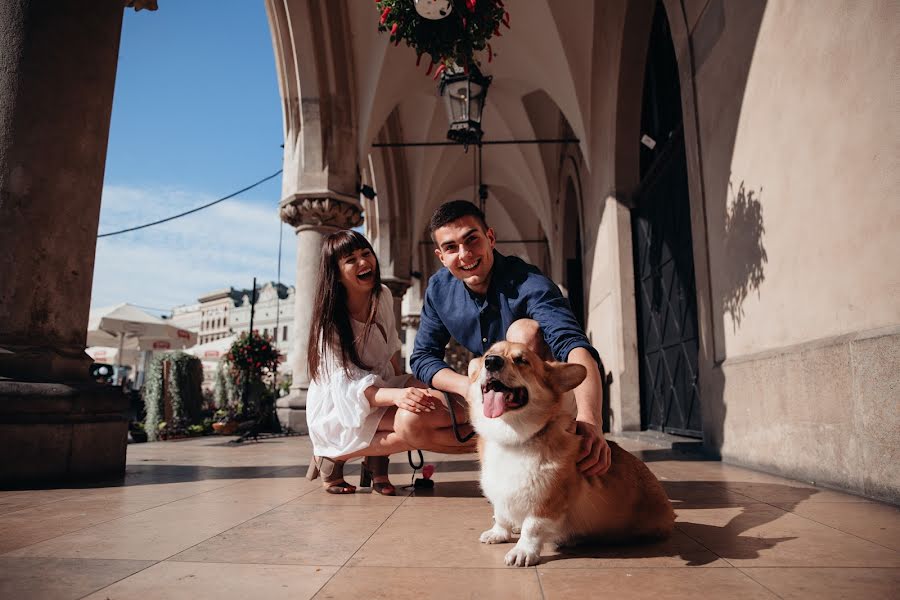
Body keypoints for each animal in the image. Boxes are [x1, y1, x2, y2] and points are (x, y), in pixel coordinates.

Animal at [472, 342, 676, 568]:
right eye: (488, 355)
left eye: (522, 360)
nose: (492, 361)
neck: (512, 438)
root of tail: (671, 511)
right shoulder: (500, 494)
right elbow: (500, 515)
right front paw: (498, 534)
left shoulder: (547, 503)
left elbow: (532, 527)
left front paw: (523, 551)